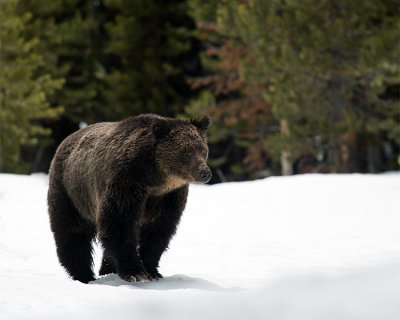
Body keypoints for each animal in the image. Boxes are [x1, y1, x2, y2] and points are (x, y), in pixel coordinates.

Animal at [47, 114, 212, 282]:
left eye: (202, 149)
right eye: (186, 151)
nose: (205, 172)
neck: (155, 180)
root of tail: (66, 140)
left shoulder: (168, 197)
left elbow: (158, 232)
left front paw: (152, 271)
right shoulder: (126, 183)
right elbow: (119, 223)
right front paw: (136, 273)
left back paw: (106, 270)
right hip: (71, 192)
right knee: (73, 232)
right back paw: (83, 274)